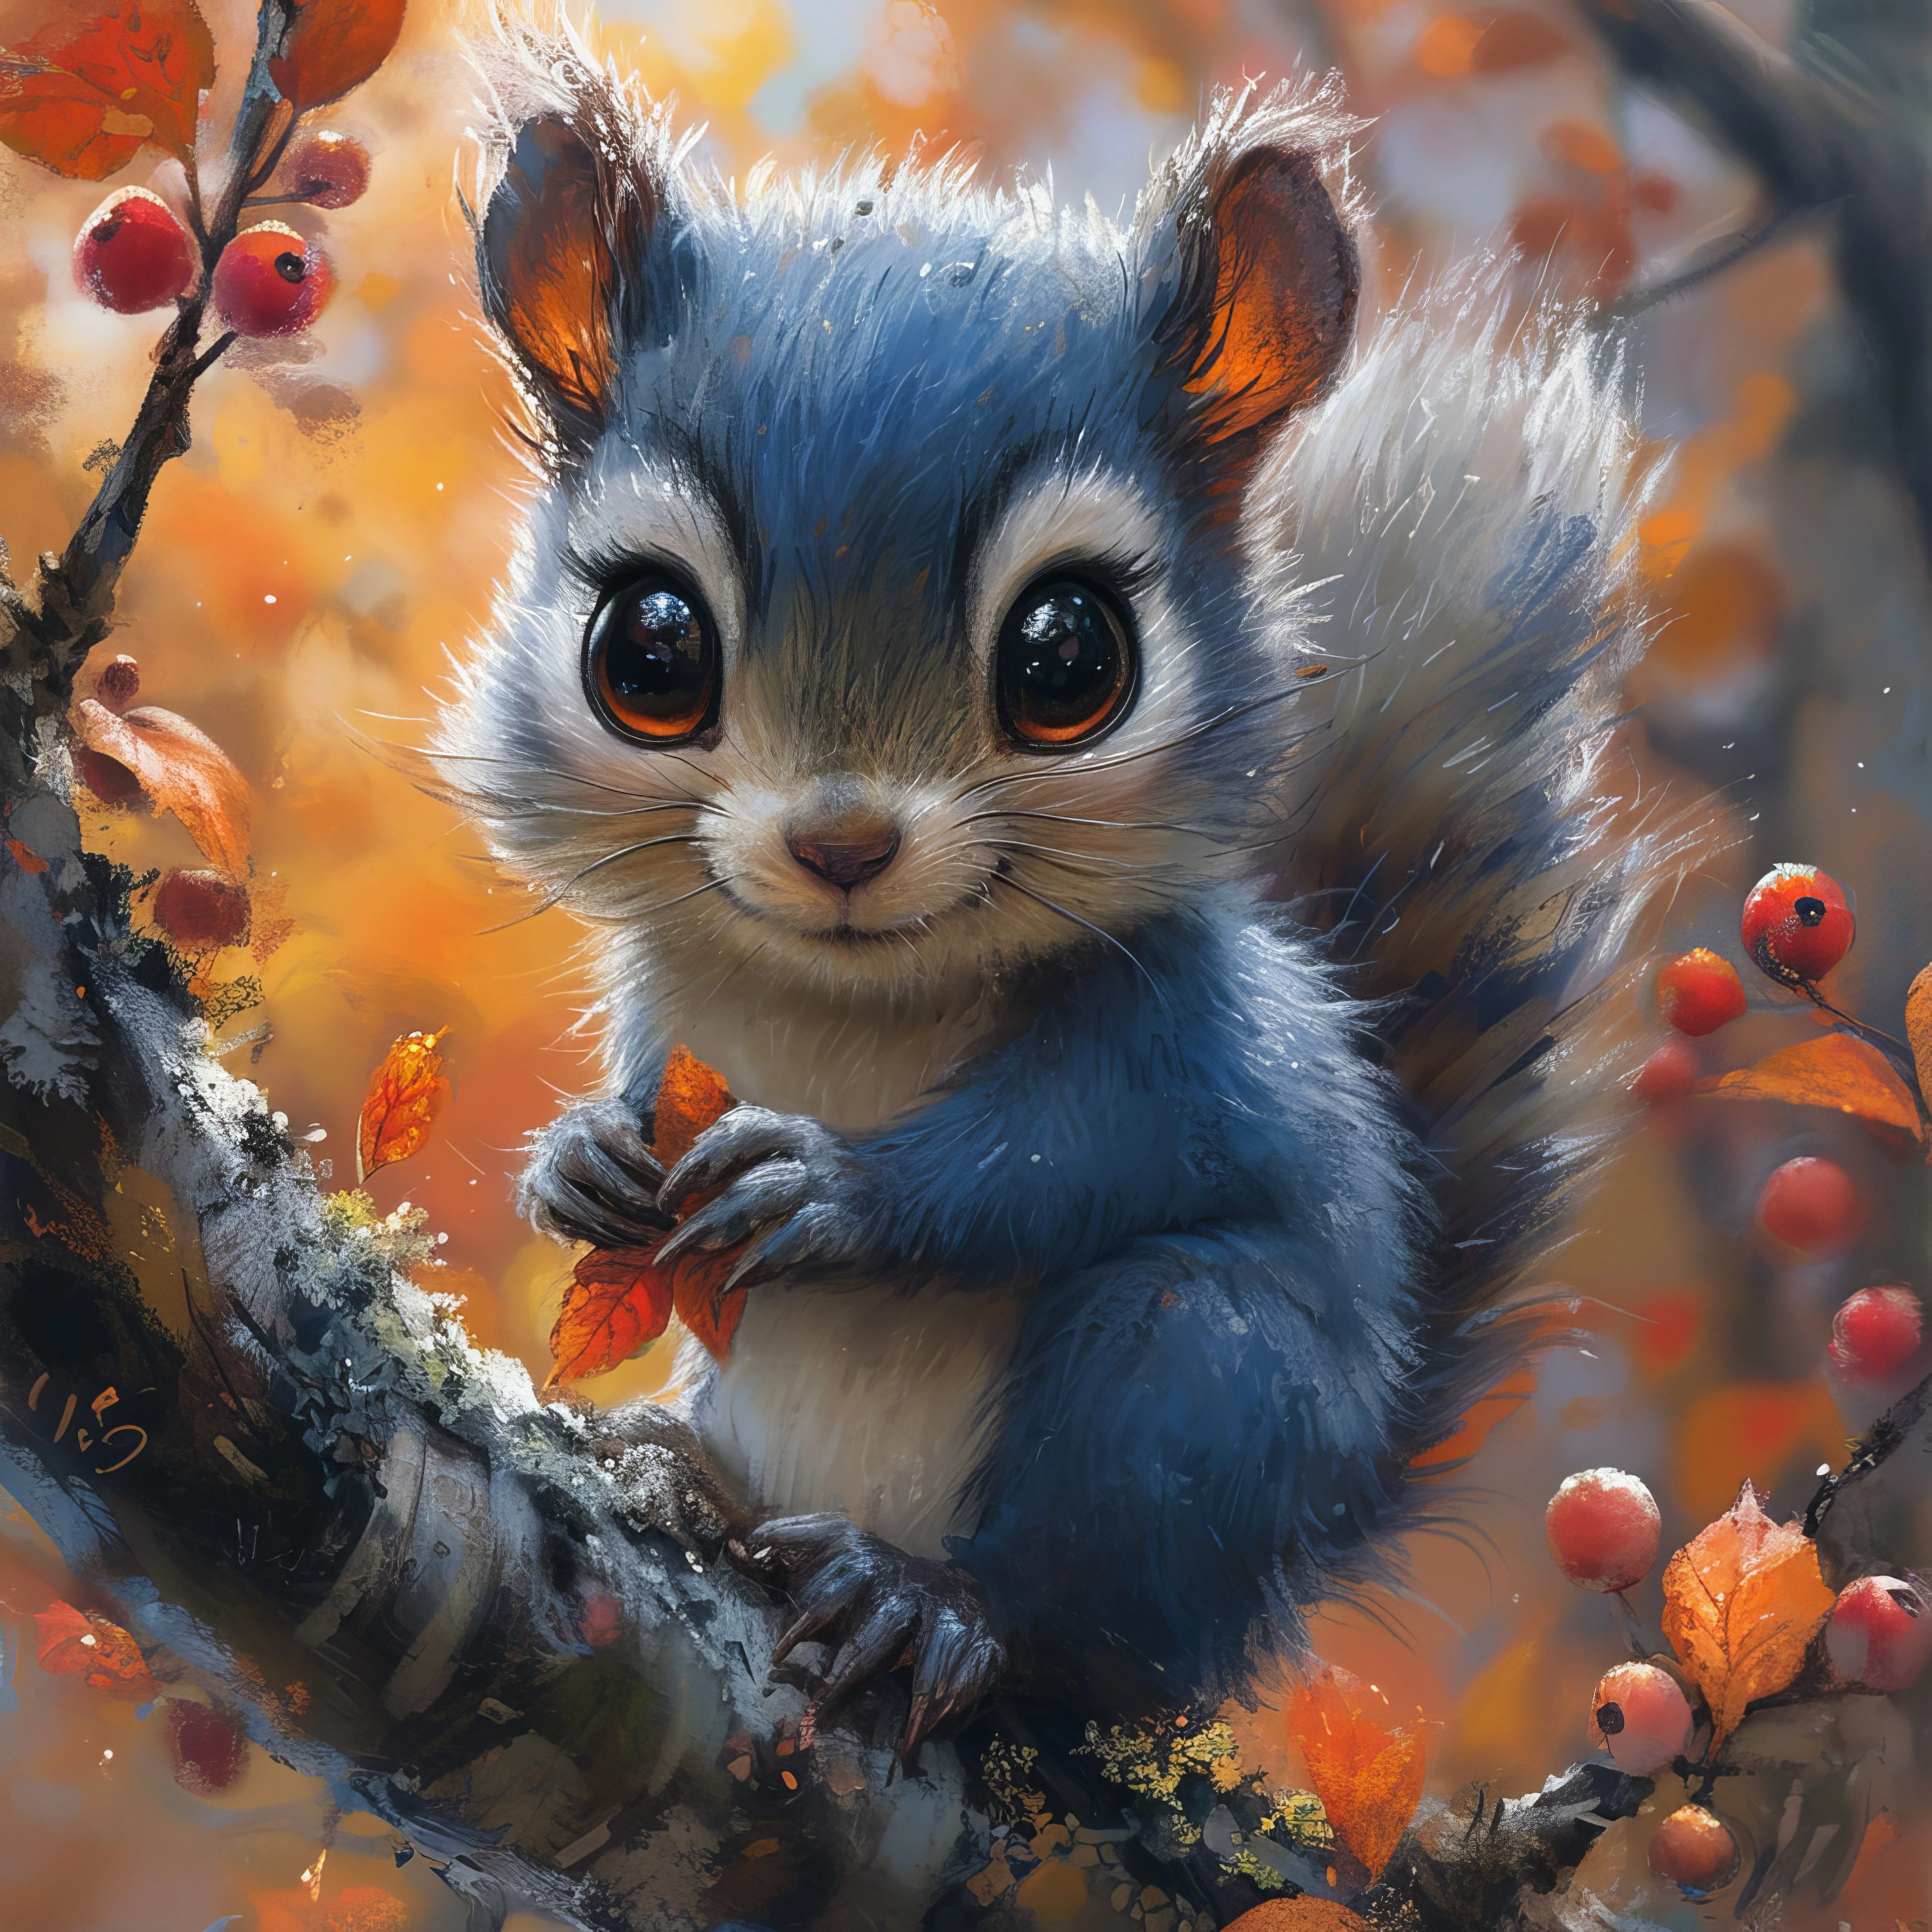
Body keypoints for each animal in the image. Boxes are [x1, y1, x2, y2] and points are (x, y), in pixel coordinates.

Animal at [433, 20, 1695, 1758]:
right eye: (649, 648)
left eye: (1065, 659)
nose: (840, 843)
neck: (850, 996)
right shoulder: (668, 996)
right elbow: (638, 1086)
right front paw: (583, 1158)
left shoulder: (1190, 1032)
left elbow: (1080, 1146)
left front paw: (835, 1188)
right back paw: (686, 1474)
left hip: (1188, 1387)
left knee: (1080, 1616)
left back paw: (925, 1601)